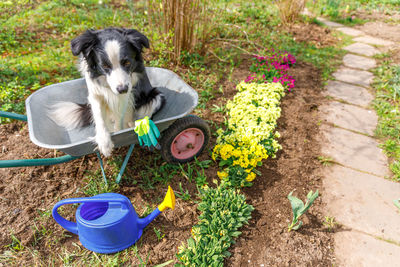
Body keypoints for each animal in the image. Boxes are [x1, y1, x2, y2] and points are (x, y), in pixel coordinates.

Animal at [51, 27, 164, 157]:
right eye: (104, 66)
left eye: (127, 63)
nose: (122, 89)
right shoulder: (95, 94)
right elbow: (99, 116)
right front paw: (104, 142)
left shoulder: (126, 95)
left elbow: (120, 117)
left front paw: (121, 133)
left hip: (156, 97)